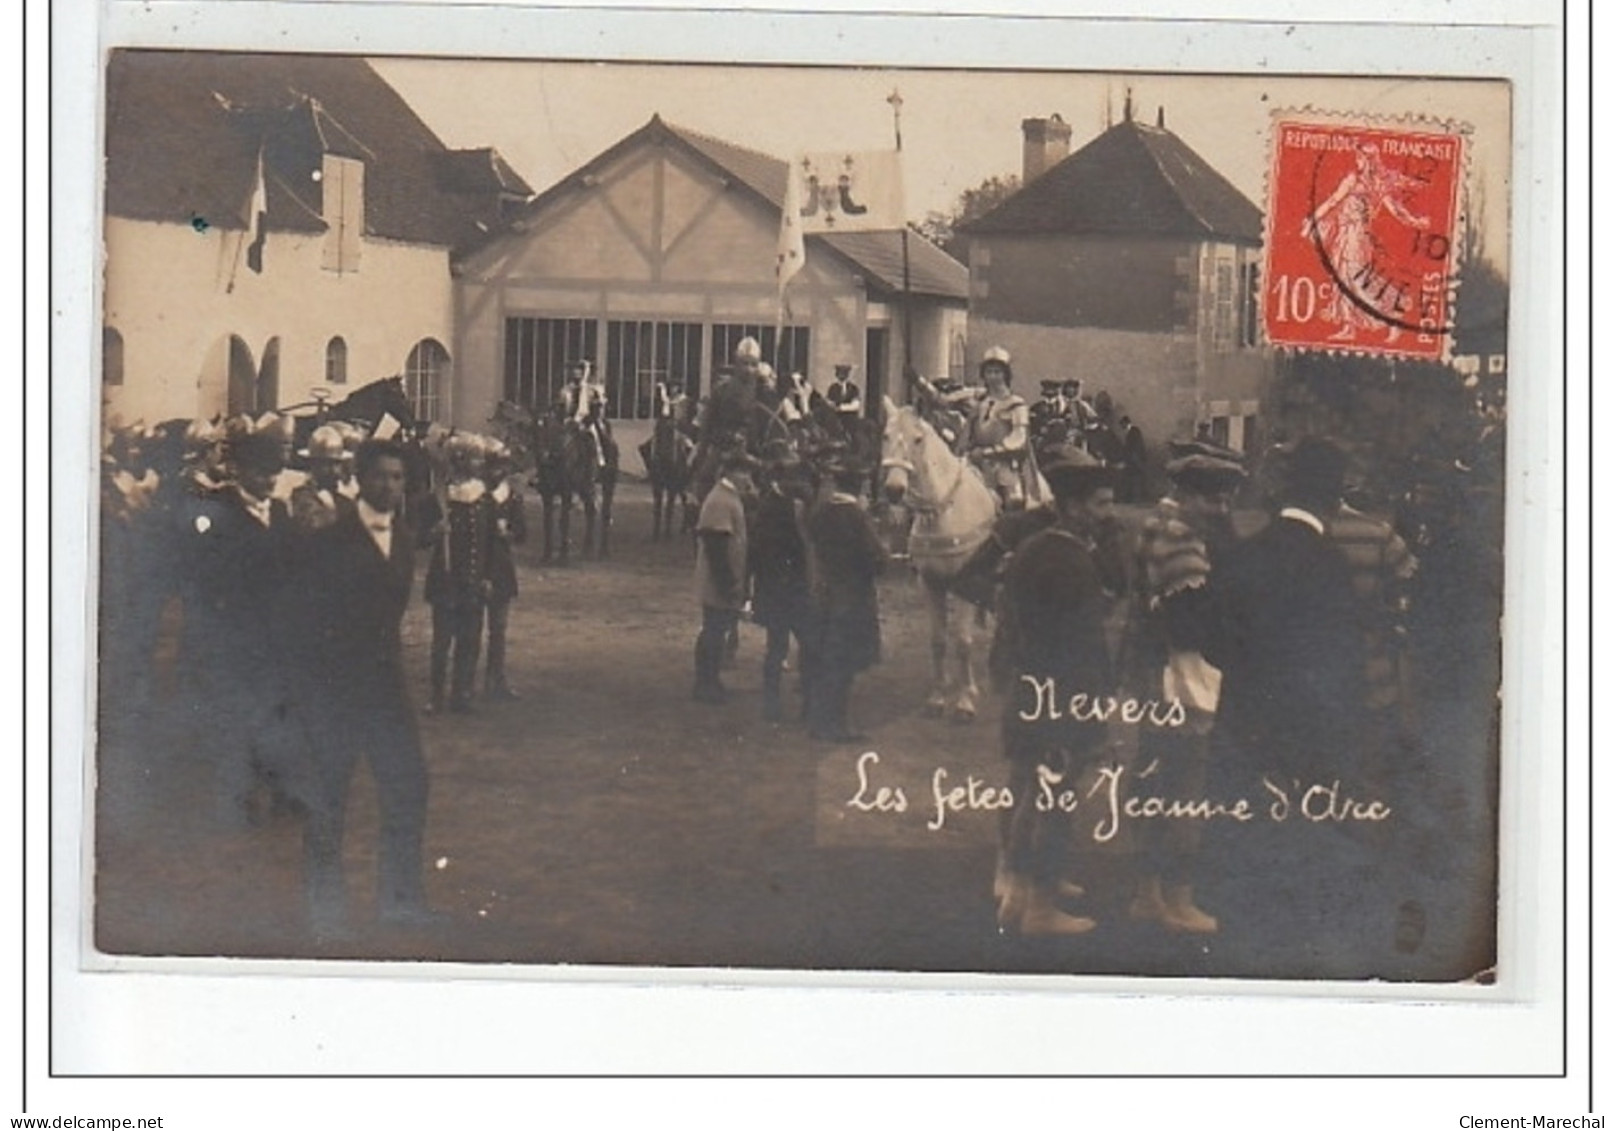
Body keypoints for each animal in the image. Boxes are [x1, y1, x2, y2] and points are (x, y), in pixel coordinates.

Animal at [529, 410, 616, 562]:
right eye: (534, 433)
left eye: (548, 433)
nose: (542, 457)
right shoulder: (547, 495)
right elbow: (547, 523)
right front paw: (546, 556)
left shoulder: (566, 493)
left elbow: (564, 521)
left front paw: (563, 557)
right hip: (585, 488)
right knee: (591, 511)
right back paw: (587, 550)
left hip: (608, 484)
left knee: (605, 513)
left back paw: (603, 552)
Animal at [878, 395, 1001, 714]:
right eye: (885, 435)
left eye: (918, 439)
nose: (894, 489)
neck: (944, 511)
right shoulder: (931, 583)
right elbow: (938, 640)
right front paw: (938, 696)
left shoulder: (966, 584)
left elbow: (963, 641)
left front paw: (965, 701)